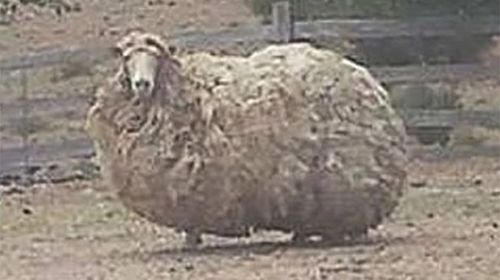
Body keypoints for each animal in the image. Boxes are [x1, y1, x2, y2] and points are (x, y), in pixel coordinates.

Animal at [86, 31, 406, 247]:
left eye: (156, 56)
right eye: (127, 58)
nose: (142, 83)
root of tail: (371, 84)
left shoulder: (193, 185)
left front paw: (191, 242)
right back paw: (302, 235)